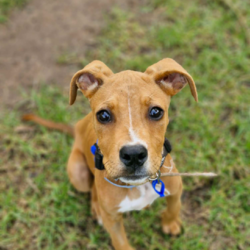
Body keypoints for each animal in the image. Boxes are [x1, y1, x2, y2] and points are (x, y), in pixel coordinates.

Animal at [23, 59, 197, 250]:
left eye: (156, 112)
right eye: (103, 115)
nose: (134, 154)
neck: (138, 185)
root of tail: (76, 129)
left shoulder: (176, 188)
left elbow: (174, 207)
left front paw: (170, 224)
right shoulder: (112, 219)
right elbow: (120, 241)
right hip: (78, 175)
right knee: (92, 188)